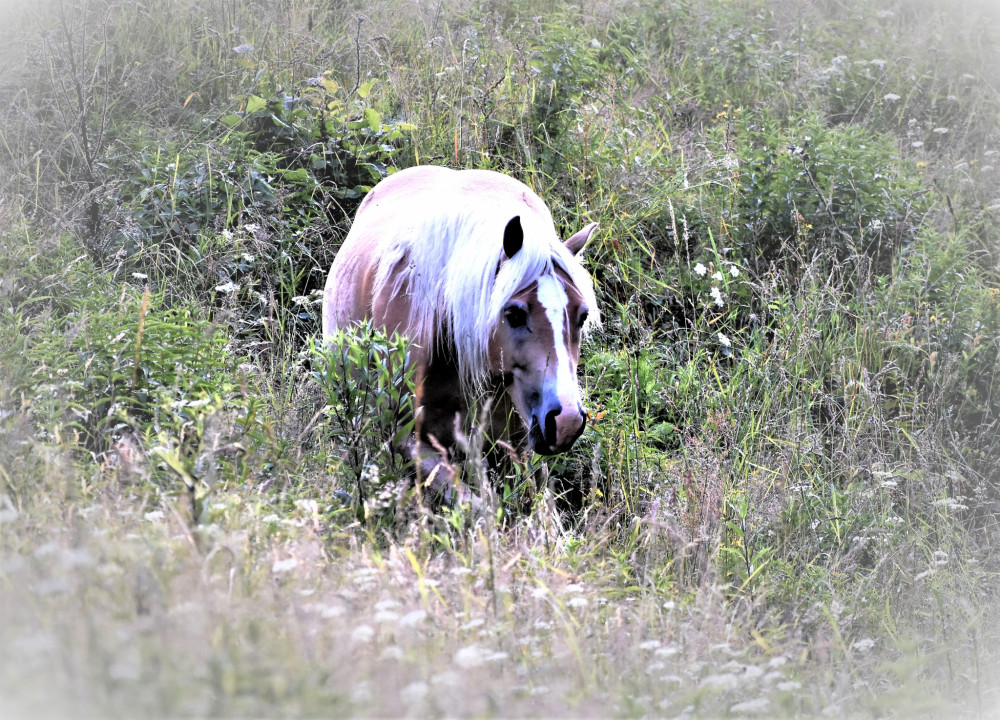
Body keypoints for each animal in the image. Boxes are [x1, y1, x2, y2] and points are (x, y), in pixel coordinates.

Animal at [324, 167, 596, 510]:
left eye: (582, 316)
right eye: (514, 314)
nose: (566, 421)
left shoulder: (516, 445)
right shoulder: (408, 439)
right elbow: (478, 508)